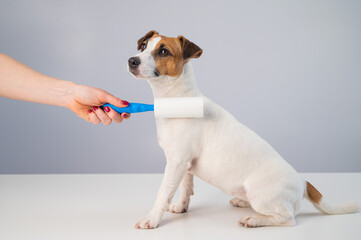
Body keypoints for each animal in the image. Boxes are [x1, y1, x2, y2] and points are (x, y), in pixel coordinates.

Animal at [126, 30, 358, 229]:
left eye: (163, 51)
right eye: (144, 46)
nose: (132, 60)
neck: (178, 100)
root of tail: (303, 182)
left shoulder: (176, 162)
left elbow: (163, 192)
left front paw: (152, 219)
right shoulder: (184, 164)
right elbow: (185, 187)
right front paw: (182, 207)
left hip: (262, 196)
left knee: (287, 218)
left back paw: (254, 220)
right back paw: (242, 202)